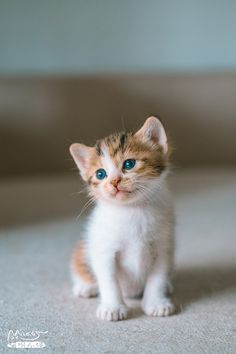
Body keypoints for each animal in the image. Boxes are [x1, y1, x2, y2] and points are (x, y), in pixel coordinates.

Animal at [69, 117, 176, 320]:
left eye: (129, 164)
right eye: (100, 174)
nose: (114, 182)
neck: (132, 210)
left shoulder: (163, 246)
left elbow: (157, 277)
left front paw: (156, 303)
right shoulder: (104, 249)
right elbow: (109, 280)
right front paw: (113, 308)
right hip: (86, 245)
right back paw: (85, 286)